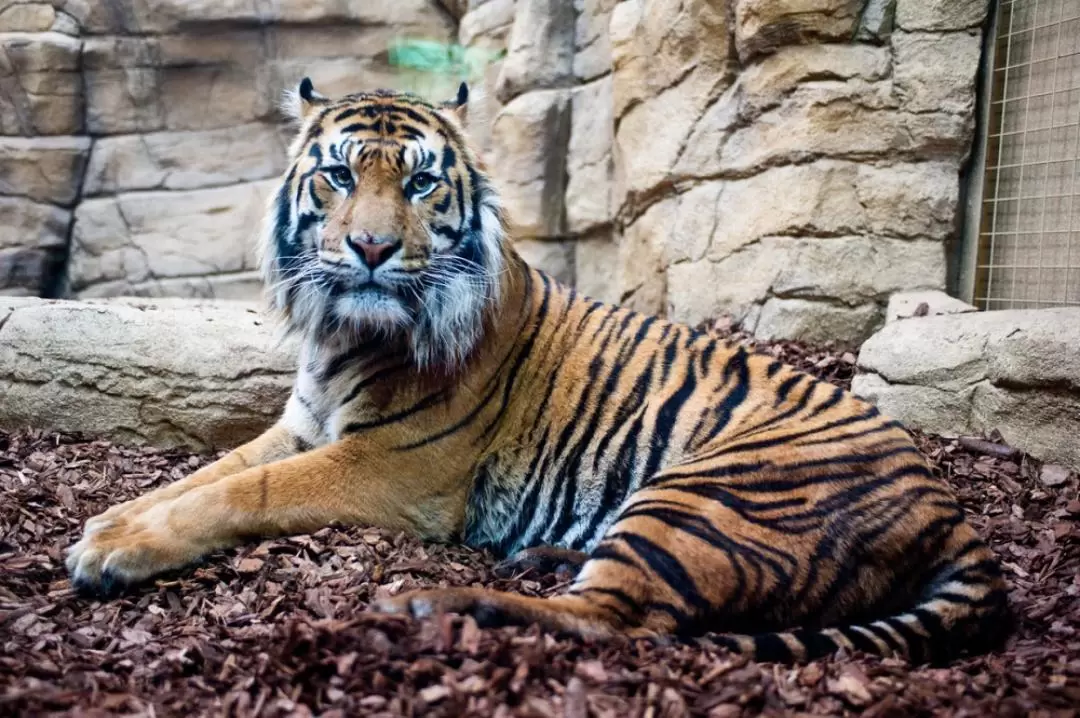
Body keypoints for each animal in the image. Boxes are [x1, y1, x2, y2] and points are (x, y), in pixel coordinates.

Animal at [67, 77, 1010, 660]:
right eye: (336, 175)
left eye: (419, 186)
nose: (370, 249)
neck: (341, 334)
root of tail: (954, 513)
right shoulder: (302, 426)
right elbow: (205, 473)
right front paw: (110, 523)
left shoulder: (388, 466)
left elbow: (244, 492)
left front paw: (114, 547)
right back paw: (544, 555)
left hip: (709, 491)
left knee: (616, 621)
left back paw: (433, 604)